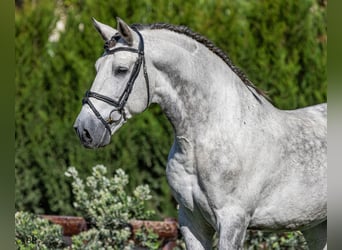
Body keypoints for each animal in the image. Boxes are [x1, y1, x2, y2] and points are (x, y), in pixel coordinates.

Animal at [73, 17, 328, 248]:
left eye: (121, 70)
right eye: (97, 67)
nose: (84, 130)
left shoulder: (233, 221)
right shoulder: (191, 221)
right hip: (316, 226)